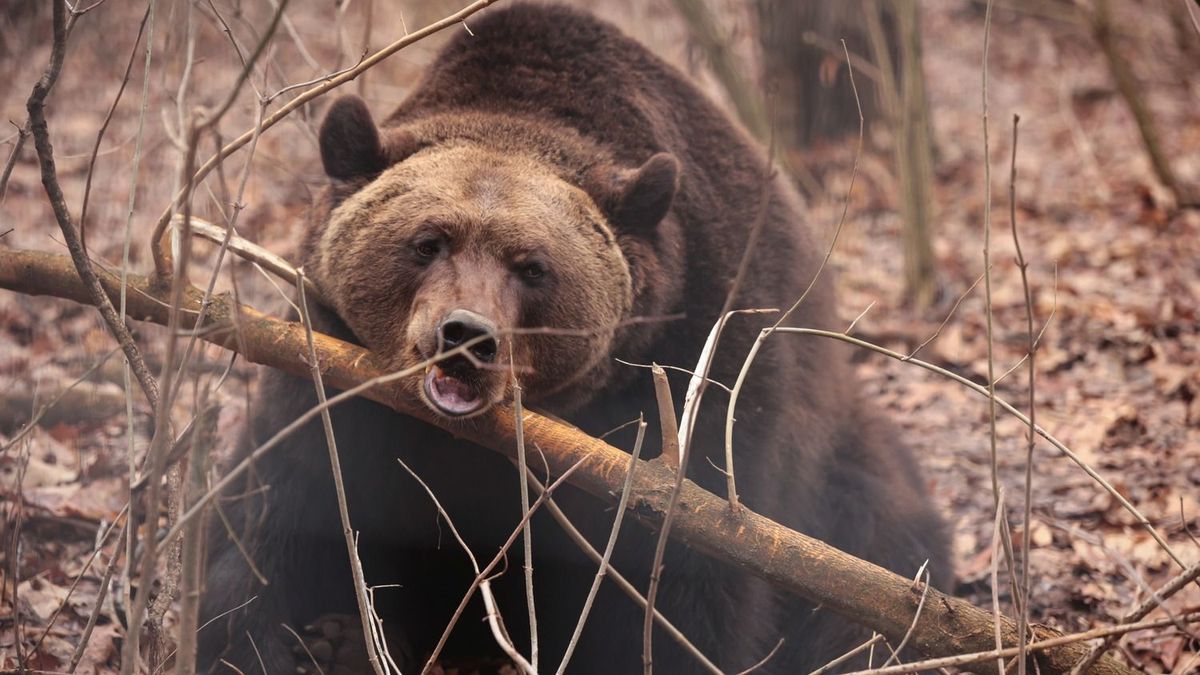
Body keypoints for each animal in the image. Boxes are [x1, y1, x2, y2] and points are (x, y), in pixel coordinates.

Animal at [199, 2, 945, 667]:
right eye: (427, 242)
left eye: (533, 266)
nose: (466, 335)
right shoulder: (329, 381)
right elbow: (282, 522)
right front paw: (302, 639)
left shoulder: (703, 368)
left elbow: (687, 579)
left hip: (851, 487)